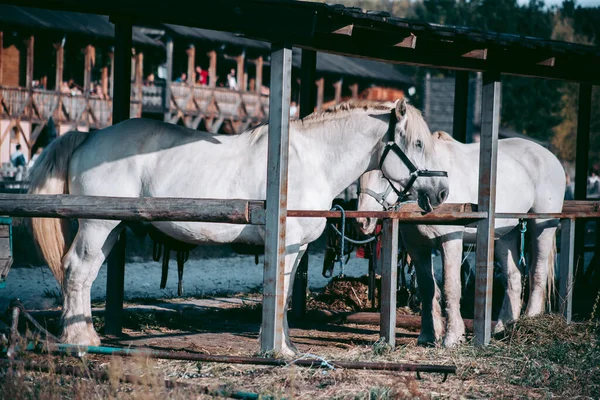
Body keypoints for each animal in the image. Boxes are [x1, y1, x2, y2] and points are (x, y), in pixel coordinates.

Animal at [29, 99, 450, 354]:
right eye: (416, 144)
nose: (443, 191)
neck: (308, 160)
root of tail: (89, 136)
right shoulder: (286, 245)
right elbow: (279, 295)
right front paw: (278, 351)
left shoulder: (295, 249)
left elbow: (282, 295)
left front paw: (285, 347)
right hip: (97, 225)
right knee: (77, 271)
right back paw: (78, 340)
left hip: (111, 227)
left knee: (83, 274)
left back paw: (88, 337)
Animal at [358, 131, 564, 346]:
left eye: (384, 175)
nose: (364, 220)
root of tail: (549, 157)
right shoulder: (417, 246)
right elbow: (427, 288)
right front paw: (427, 335)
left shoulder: (451, 240)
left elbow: (451, 287)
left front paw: (453, 337)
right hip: (505, 235)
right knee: (513, 277)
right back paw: (503, 327)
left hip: (542, 226)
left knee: (537, 272)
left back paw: (530, 319)